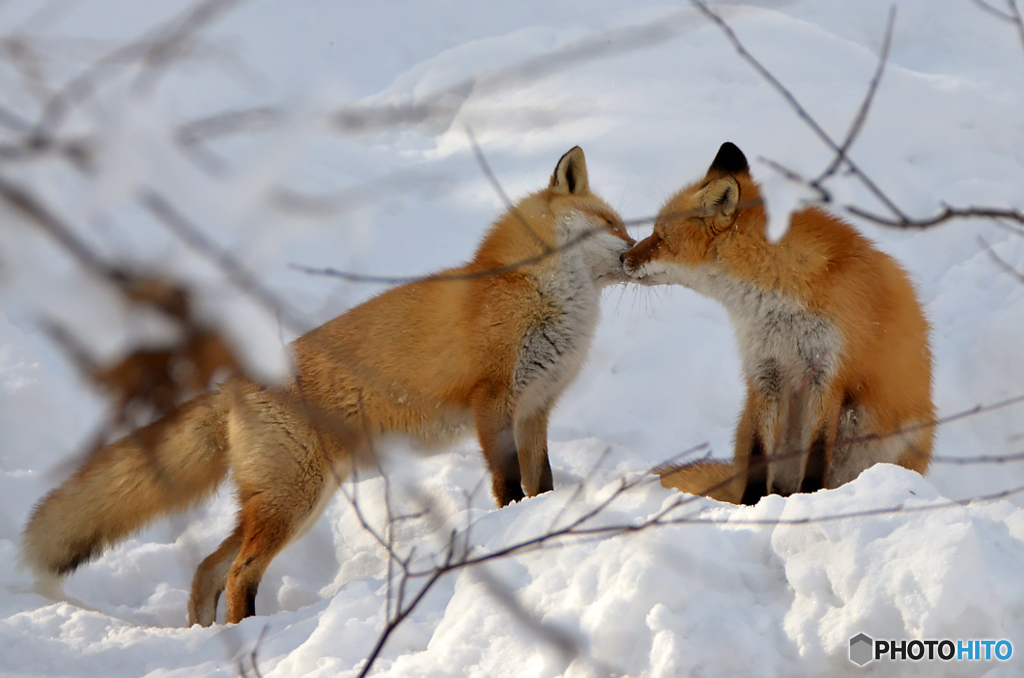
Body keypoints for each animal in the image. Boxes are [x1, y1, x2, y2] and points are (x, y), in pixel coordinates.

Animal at [22, 147, 630, 626]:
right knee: (238, 572)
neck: (536, 294)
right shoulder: (493, 402)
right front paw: (509, 531)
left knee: (207, 569)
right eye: (612, 223)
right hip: (293, 502)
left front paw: (546, 517)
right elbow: (508, 485)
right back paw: (249, 635)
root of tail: (232, 386)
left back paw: (211, 637)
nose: (636, 249)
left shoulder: (536, 408)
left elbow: (541, 482)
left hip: (288, 501)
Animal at [618, 142, 933, 503]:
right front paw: (752, 506)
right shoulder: (765, 371)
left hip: (888, 431)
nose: (622, 257)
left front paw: (810, 499)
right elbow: (759, 454)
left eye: (658, 237)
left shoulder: (828, 373)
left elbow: (817, 454)